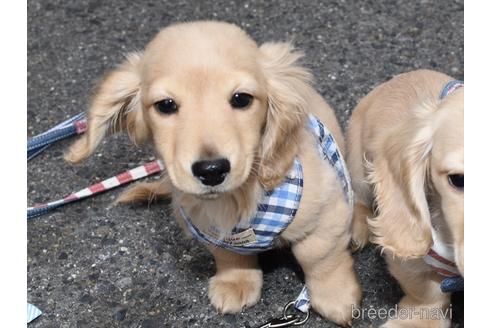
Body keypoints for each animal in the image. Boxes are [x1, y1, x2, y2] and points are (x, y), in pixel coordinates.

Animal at [64, 21, 362, 326]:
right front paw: (236, 282)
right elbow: (229, 255)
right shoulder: (209, 228)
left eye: (241, 99)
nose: (211, 170)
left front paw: (335, 297)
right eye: (165, 105)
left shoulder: (326, 213)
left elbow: (318, 257)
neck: (238, 199)